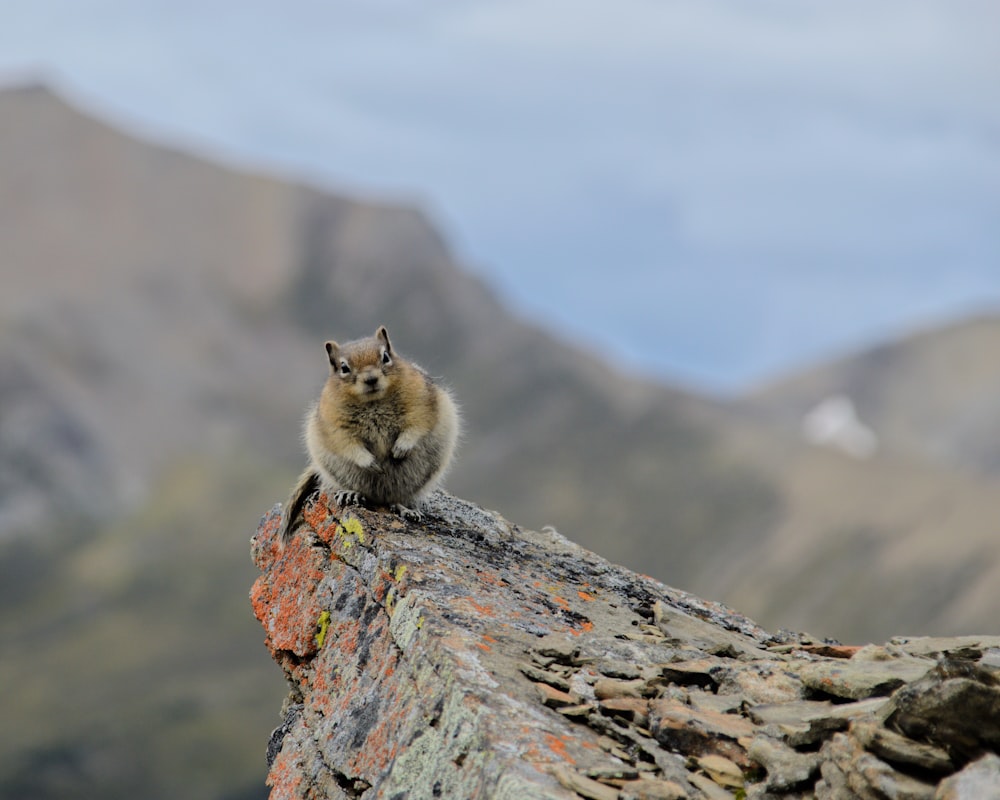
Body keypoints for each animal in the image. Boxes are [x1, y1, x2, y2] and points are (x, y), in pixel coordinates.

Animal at [278, 326, 458, 544]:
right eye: (344, 368)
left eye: (386, 356)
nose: (371, 379)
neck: (374, 402)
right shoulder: (335, 425)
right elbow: (349, 445)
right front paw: (371, 464)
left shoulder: (421, 402)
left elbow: (416, 427)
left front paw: (400, 449)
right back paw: (351, 494)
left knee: (398, 498)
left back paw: (406, 509)